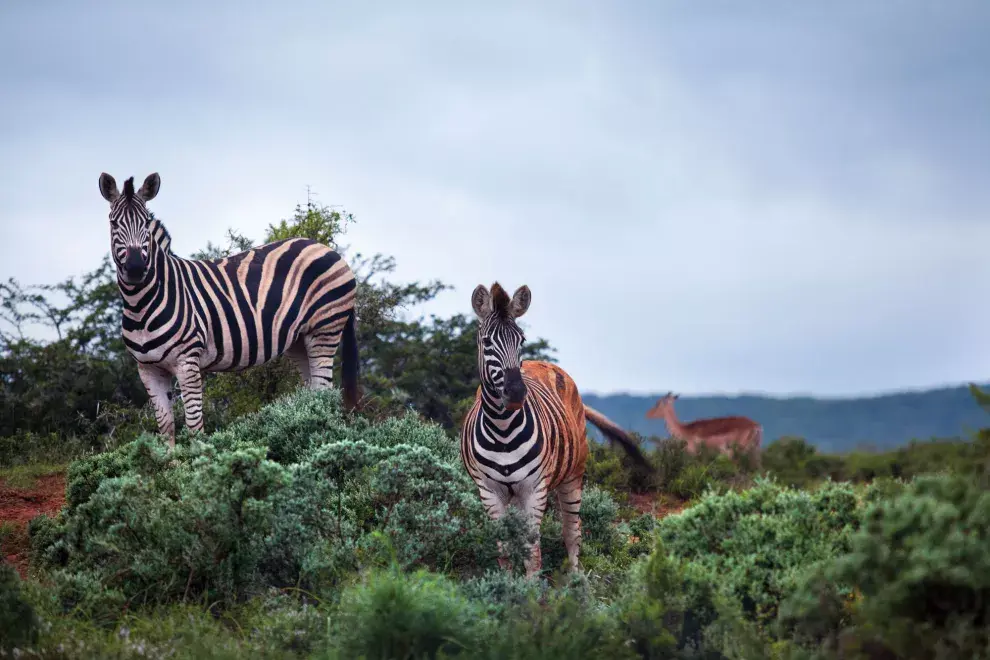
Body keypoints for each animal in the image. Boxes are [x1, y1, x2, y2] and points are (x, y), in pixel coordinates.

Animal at [99, 173, 362, 448]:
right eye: (113, 223)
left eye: (146, 222)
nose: (136, 268)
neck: (141, 304)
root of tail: (326, 248)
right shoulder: (148, 369)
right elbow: (167, 429)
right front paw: (170, 460)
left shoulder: (187, 361)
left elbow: (194, 427)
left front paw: (200, 459)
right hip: (299, 341)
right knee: (313, 396)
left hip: (325, 329)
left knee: (324, 394)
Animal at [462, 282, 656, 576]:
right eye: (486, 343)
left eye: (522, 341)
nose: (516, 393)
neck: (502, 428)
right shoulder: (489, 491)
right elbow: (503, 549)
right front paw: (505, 585)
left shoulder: (534, 488)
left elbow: (533, 551)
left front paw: (530, 588)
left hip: (573, 474)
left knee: (572, 531)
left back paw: (576, 581)